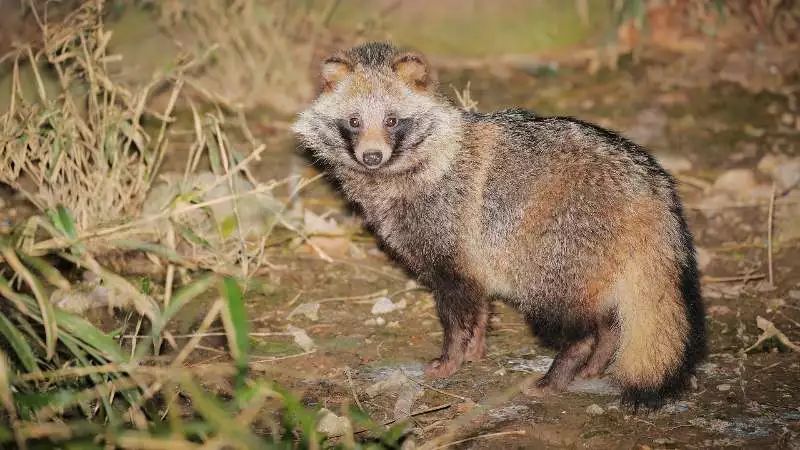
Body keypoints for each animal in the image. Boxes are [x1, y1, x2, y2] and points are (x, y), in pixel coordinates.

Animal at [290, 43, 704, 408]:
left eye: (392, 120)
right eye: (354, 121)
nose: (372, 156)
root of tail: (649, 187)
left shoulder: (449, 244)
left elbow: (456, 318)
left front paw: (451, 357)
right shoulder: (473, 255)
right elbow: (480, 307)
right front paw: (475, 348)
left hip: (551, 261)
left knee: (580, 328)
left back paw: (560, 372)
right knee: (609, 322)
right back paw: (597, 360)